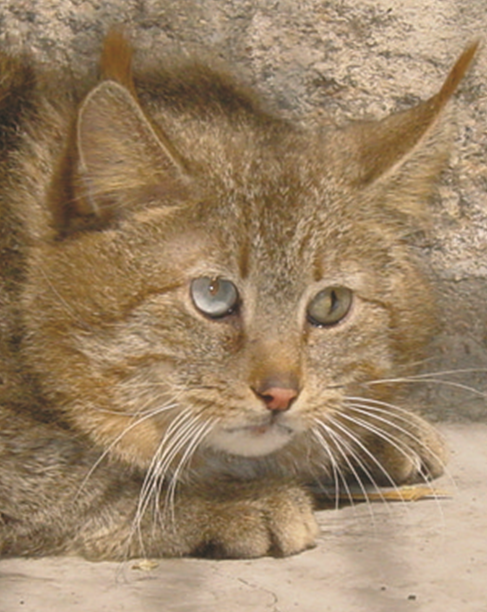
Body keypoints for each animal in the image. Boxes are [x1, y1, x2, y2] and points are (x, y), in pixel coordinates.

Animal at [0, 32, 478, 560]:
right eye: (213, 294)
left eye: (330, 304)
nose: (280, 395)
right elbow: (74, 474)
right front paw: (230, 500)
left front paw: (374, 427)